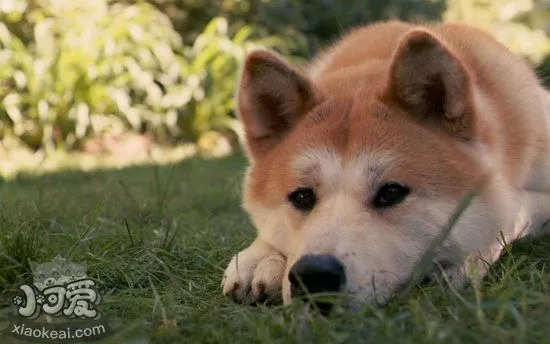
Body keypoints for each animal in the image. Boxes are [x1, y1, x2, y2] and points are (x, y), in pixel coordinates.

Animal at [221, 20, 550, 310]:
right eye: (301, 196)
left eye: (391, 193)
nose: (314, 275)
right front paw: (260, 258)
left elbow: (511, 212)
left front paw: (463, 260)